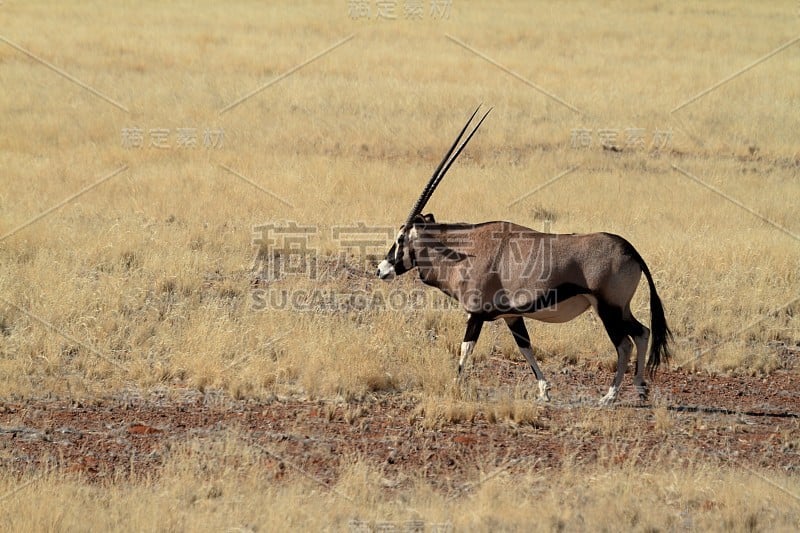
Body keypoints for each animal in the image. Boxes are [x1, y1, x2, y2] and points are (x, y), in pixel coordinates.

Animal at [378, 106, 672, 404]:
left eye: (400, 238)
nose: (381, 269)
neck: (465, 251)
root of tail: (630, 249)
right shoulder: (511, 315)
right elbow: (525, 347)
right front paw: (544, 390)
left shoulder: (477, 313)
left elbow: (465, 349)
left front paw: (454, 386)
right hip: (620, 308)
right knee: (642, 332)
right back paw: (640, 387)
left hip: (608, 308)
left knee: (624, 344)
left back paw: (610, 396)